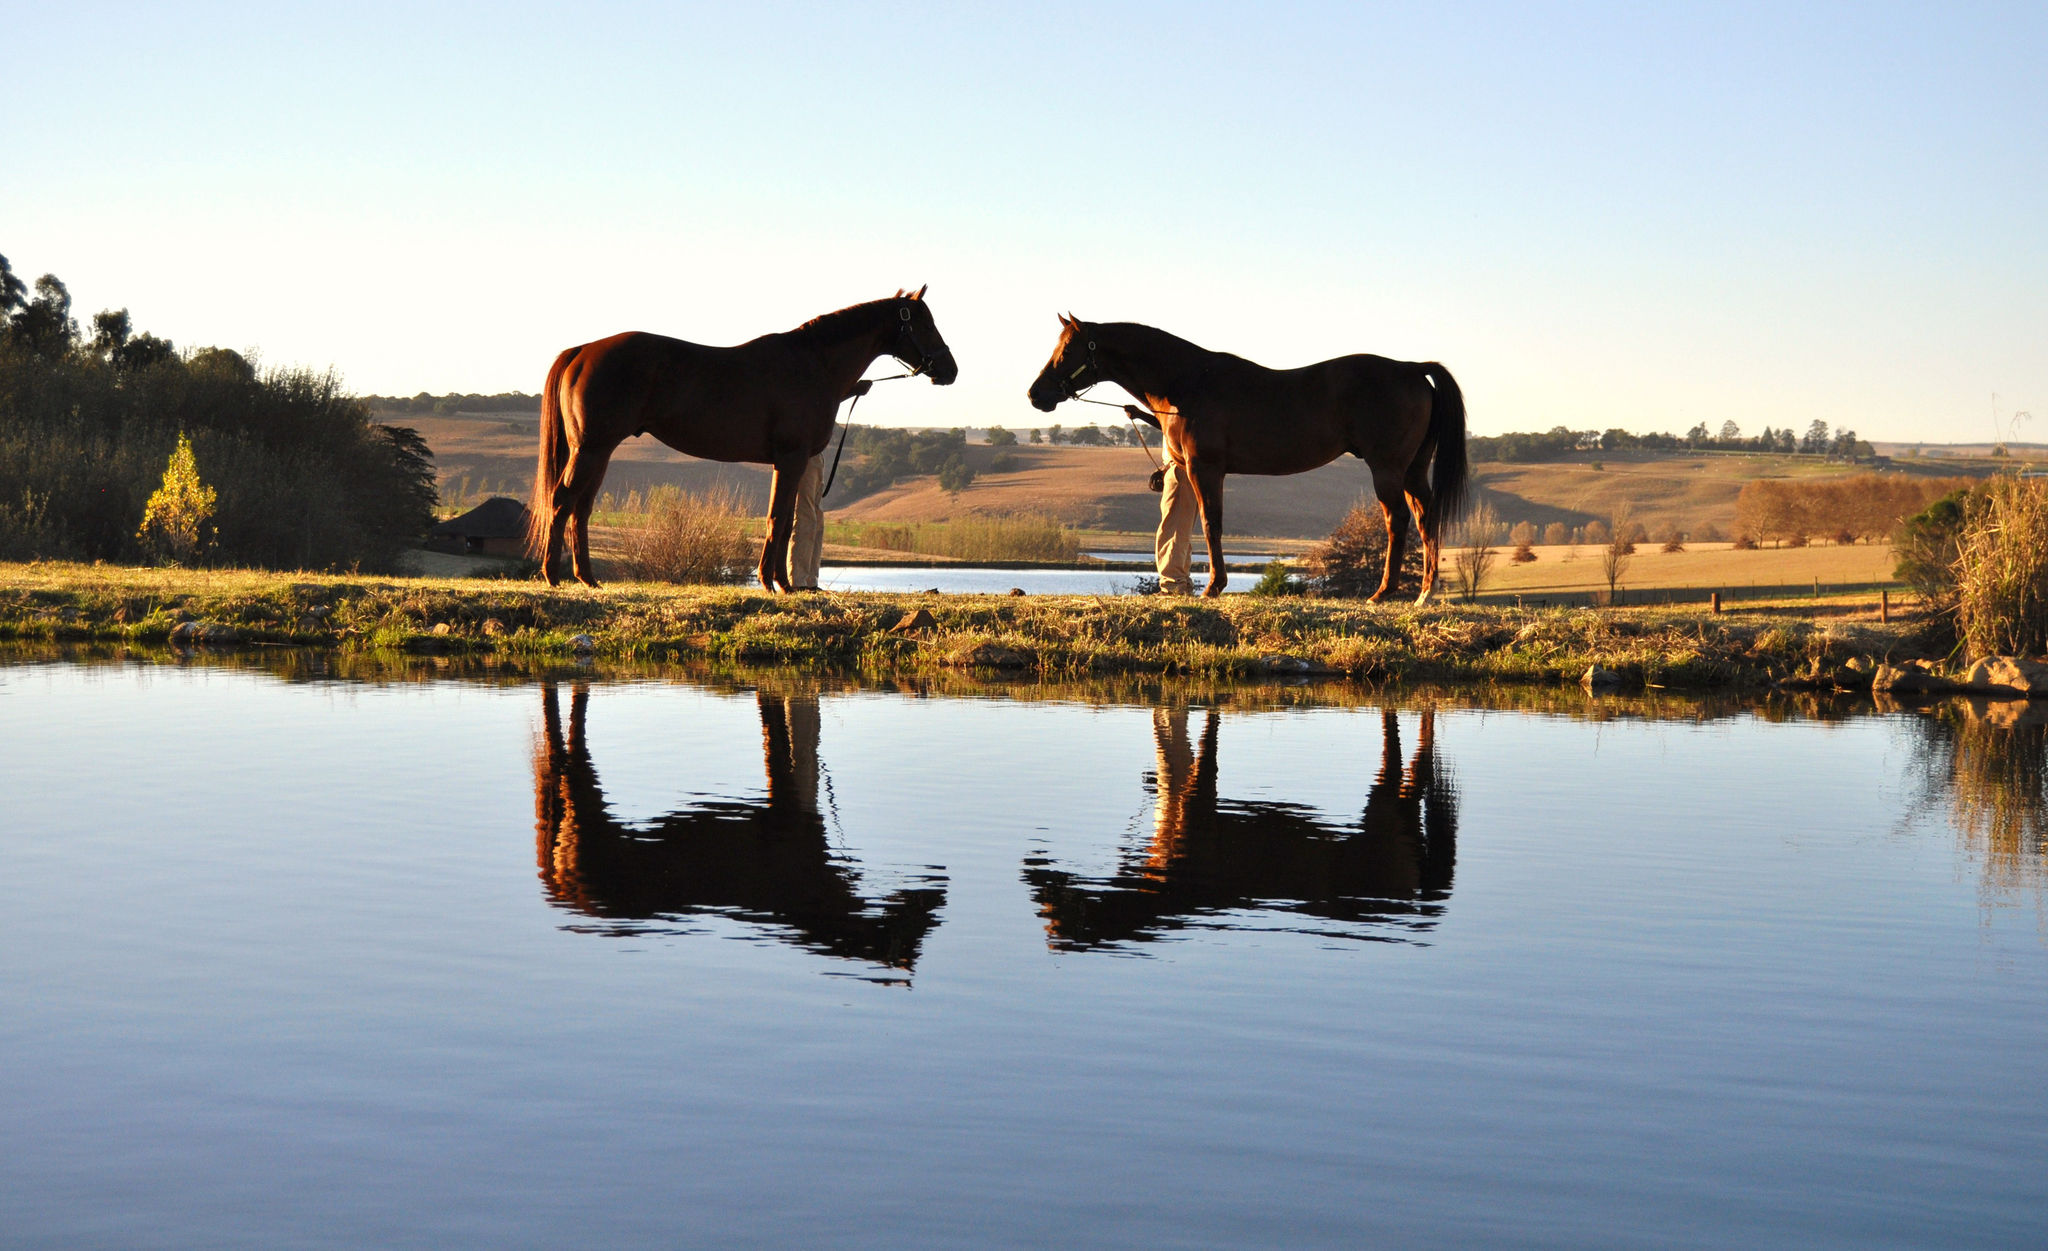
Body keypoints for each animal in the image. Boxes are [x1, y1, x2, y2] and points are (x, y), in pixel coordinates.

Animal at [520, 288, 950, 593]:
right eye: (925, 324)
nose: (950, 370)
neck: (814, 363)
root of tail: (582, 351)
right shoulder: (792, 458)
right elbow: (780, 517)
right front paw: (778, 584)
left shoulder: (786, 462)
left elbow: (783, 518)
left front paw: (778, 582)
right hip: (590, 449)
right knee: (562, 500)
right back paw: (553, 576)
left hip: (599, 451)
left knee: (581, 507)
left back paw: (587, 578)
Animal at [1024, 317, 1458, 601]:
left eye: (1068, 349)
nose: (1035, 393)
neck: (1188, 382)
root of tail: (1412, 369)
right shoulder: (1192, 470)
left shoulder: (1205, 468)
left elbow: (1211, 524)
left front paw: (1214, 587)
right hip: (1413, 470)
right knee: (1426, 518)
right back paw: (1424, 594)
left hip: (1386, 469)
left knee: (1397, 521)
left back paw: (1383, 593)